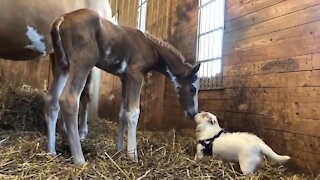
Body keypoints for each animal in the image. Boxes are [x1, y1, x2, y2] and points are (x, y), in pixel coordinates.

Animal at [45, 8, 200, 165]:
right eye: (193, 89)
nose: (193, 113)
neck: (150, 46)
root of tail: (62, 19)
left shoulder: (124, 78)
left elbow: (122, 113)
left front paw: (119, 149)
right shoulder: (135, 75)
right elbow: (133, 113)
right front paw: (133, 155)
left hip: (62, 66)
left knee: (52, 101)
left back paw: (51, 151)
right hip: (83, 62)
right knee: (68, 100)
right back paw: (80, 159)